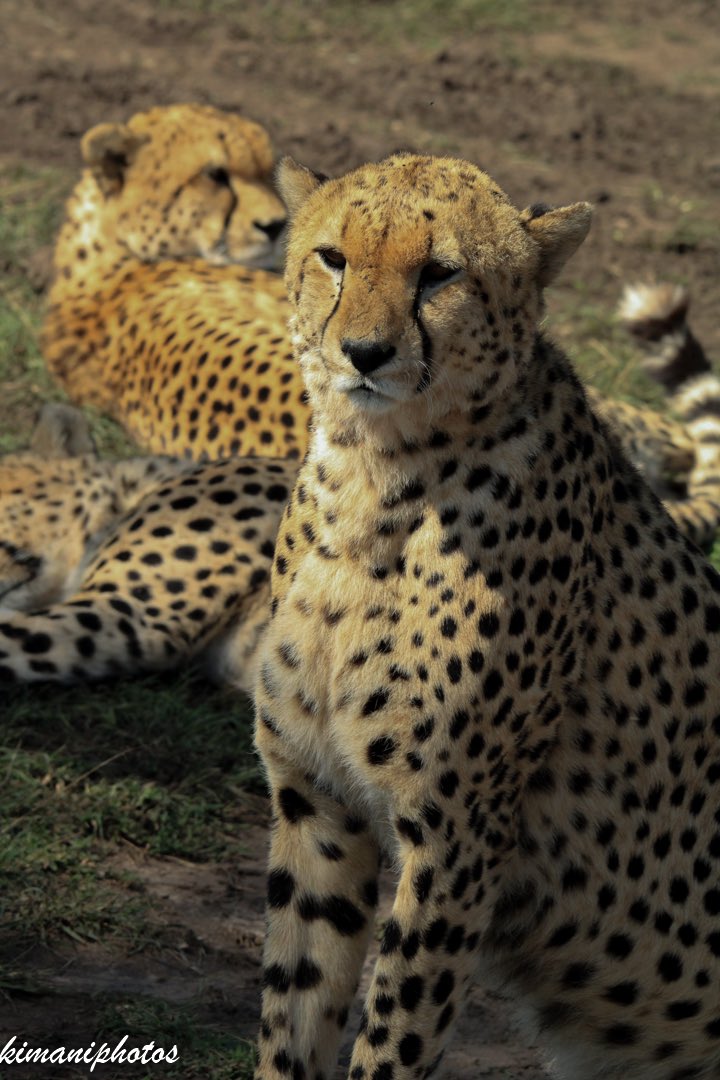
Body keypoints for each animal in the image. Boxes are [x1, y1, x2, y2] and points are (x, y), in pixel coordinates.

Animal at [252, 154, 720, 1080]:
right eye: (333, 257)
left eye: (440, 272)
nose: (365, 352)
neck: (373, 480)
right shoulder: (318, 802)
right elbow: (294, 1012)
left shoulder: (457, 838)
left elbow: (392, 1039)